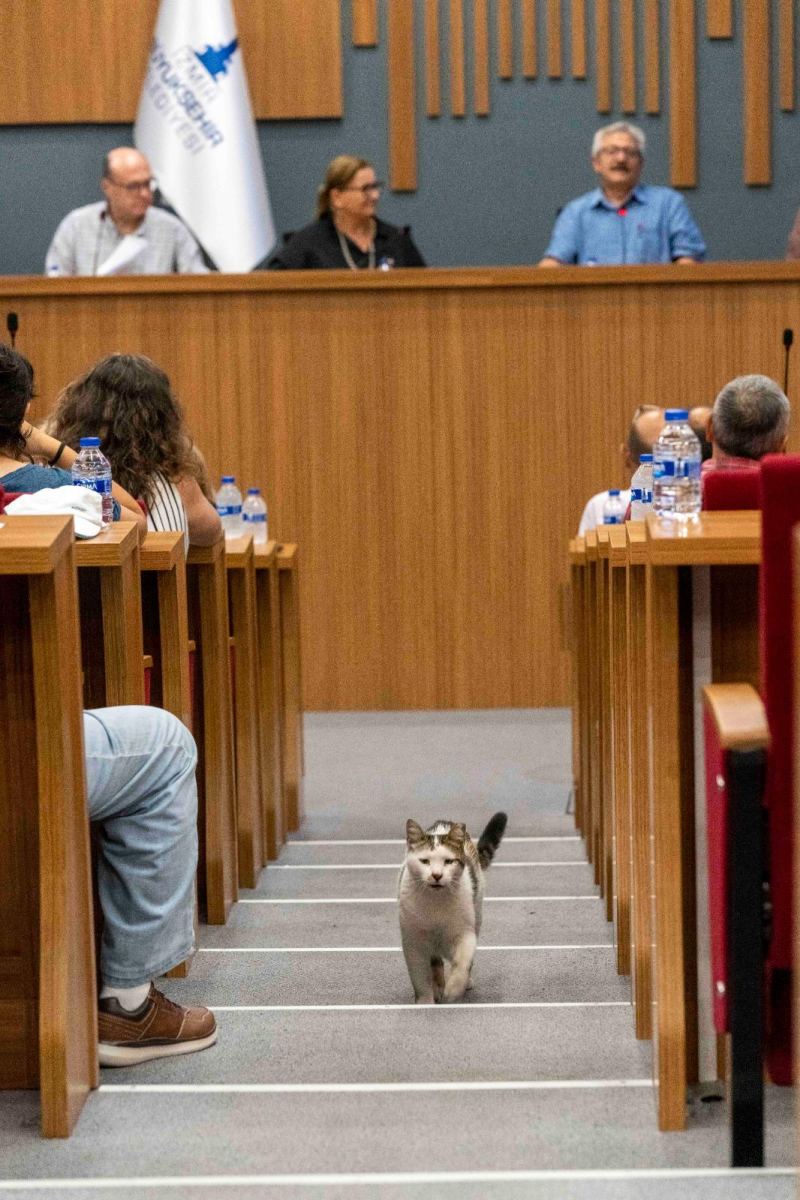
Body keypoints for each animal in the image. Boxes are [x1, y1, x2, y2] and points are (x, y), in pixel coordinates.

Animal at [398, 816, 506, 1003]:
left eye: (448, 861)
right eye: (424, 861)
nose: (437, 875)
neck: (436, 903)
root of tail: (444, 822)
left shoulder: (464, 934)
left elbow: (462, 963)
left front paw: (454, 989)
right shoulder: (413, 942)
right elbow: (420, 979)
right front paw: (425, 1002)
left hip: (476, 914)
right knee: (436, 963)